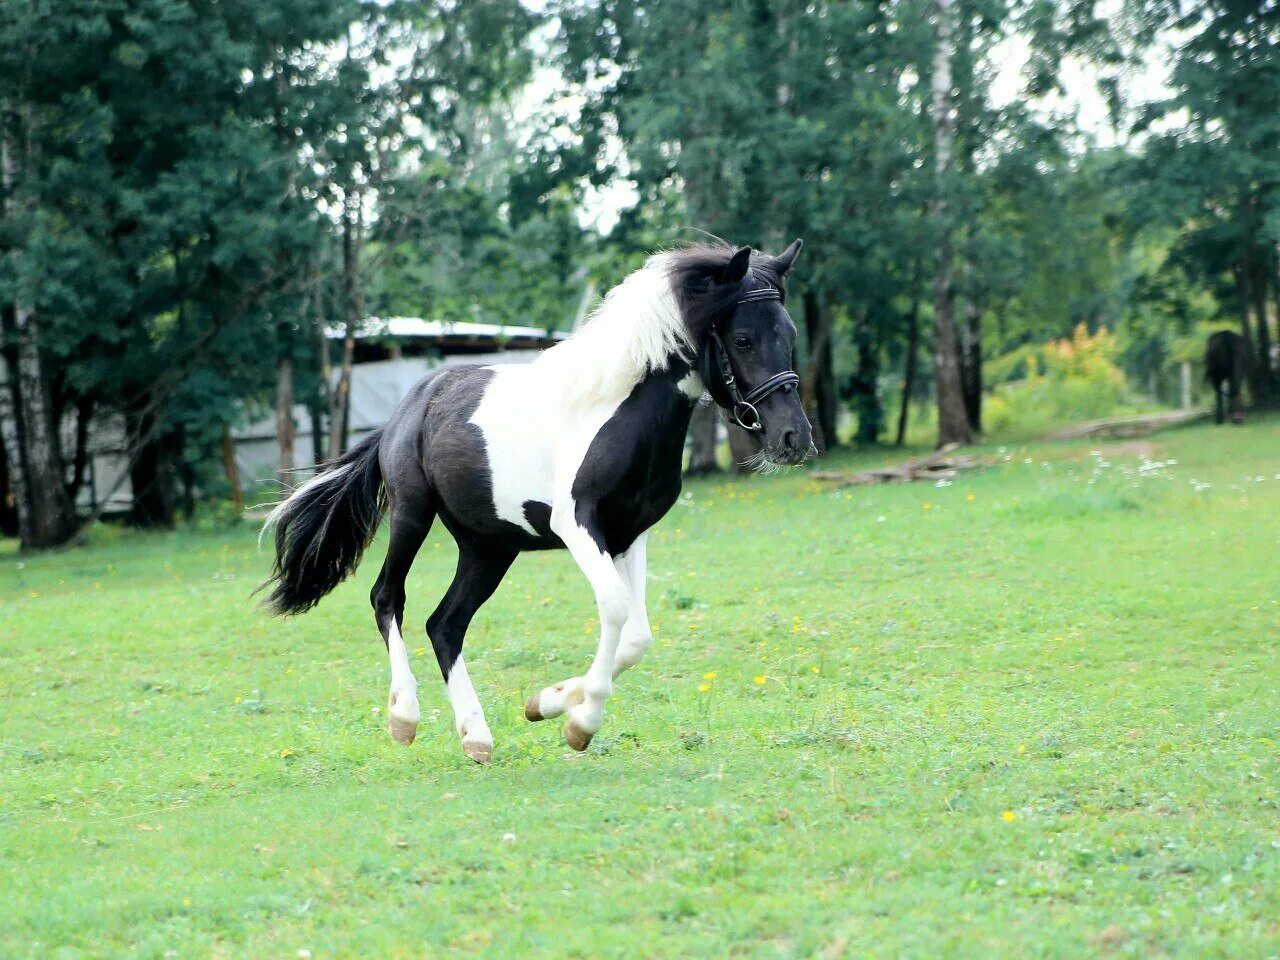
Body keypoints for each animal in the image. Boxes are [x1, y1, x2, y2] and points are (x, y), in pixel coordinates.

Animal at [258, 241, 808, 768]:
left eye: (790, 334)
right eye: (742, 339)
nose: (794, 439)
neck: (618, 408)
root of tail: (403, 413)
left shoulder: (630, 533)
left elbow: (637, 635)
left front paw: (547, 703)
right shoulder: (577, 524)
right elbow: (614, 608)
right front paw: (580, 724)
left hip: (489, 547)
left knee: (445, 624)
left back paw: (476, 738)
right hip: (412, 516)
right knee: (387, 597)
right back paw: (405, 718)